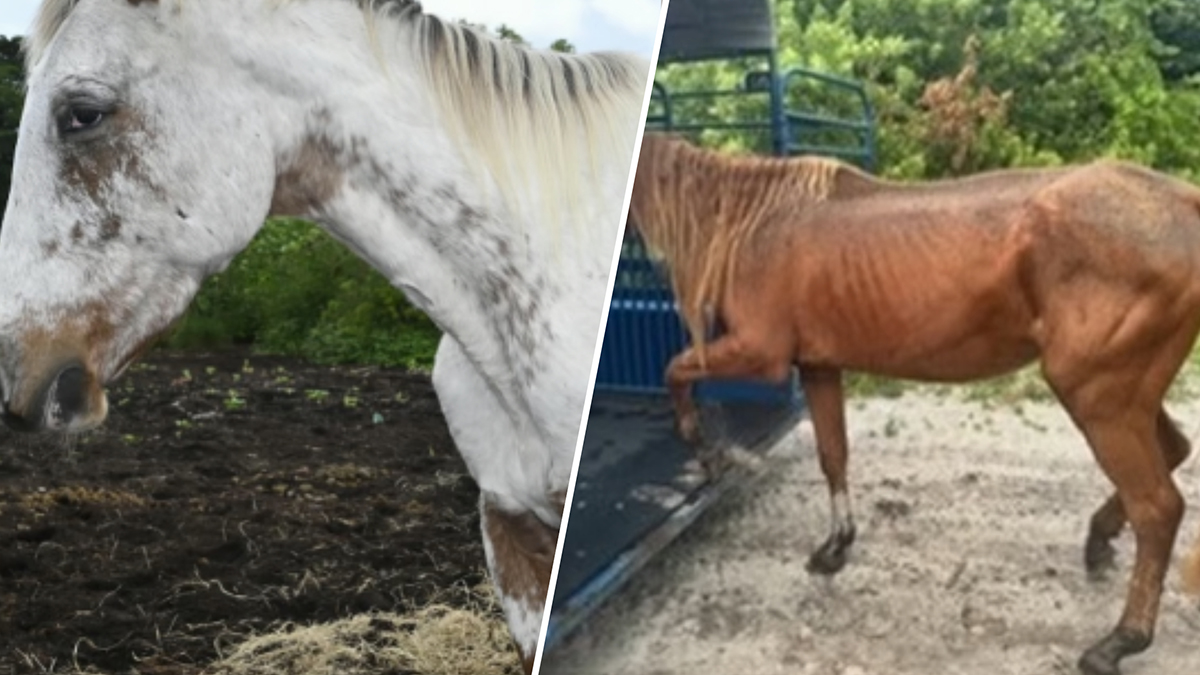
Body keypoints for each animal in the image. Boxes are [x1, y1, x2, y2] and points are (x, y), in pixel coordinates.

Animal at [628, 132, 1200, 675]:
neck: (755, 224)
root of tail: (1183, 204)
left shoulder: (759, 353)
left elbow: (675, 370)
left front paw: (706, 450)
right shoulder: (818, 368)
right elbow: (833, 455)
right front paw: (835, 548)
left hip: (1098, 397)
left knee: (1157, 508)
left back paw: (1119, 641)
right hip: (1127, 397)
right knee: (1174, 453)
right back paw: (1099, 542)